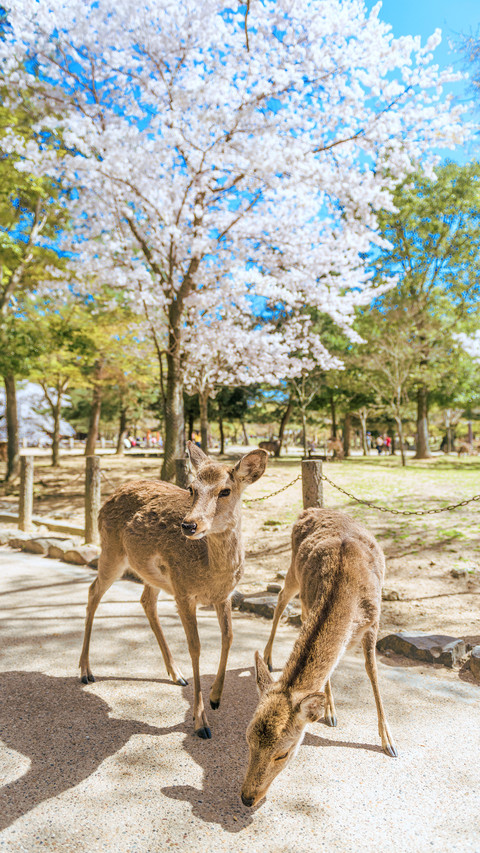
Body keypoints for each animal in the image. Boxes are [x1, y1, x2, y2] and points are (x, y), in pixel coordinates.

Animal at [79, 441, 268, 740]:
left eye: (225, 490)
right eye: (191, 488)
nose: (189, 525)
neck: (211, 573)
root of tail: (111, 495)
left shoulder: (224, 595)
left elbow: (228, 637)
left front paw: (215, 698)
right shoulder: (183, 592)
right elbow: (196, 647)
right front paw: (201, 722)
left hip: (151, 574)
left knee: (145, 600)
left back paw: (176, 673)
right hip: (112, 552)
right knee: (93, 591)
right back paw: (86, 671)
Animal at [241, 507, 397, 808]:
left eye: (283, 753)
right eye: (247, 740)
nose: (246, 798)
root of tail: (312, 509)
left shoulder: (374, 623)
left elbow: (372, 672)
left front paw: (389, 742)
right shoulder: (310, 602)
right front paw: (330, 711)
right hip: (294, 573)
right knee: (280, 598)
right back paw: (267, 656)